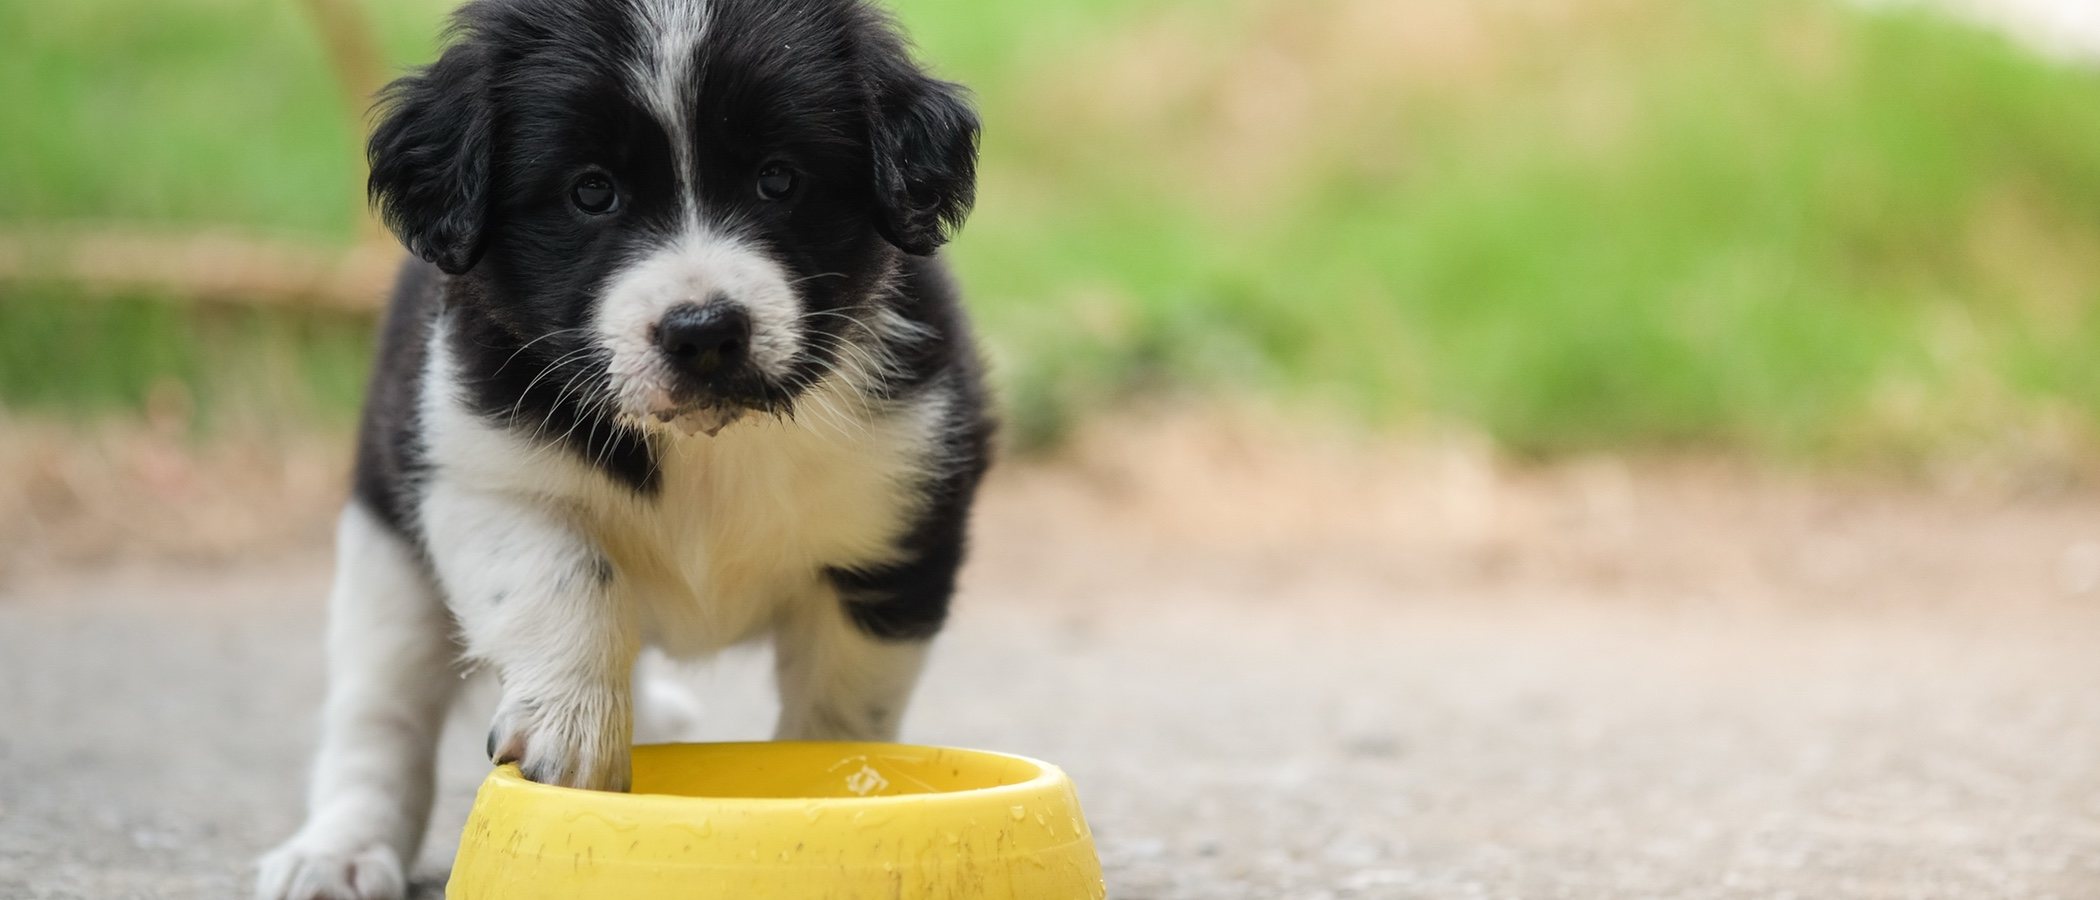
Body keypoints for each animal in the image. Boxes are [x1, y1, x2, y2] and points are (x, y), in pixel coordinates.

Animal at [256, 1, 991, 889]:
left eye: (778, 180)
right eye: (591, 192)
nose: (704, 333)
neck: (706, 445)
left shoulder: (903, 519)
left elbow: (843, 703)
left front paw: (833, 798)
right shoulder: (477, 468)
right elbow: (566, 580)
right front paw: (574, 729)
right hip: (384, 549)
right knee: (379, 714)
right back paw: (339, 850)